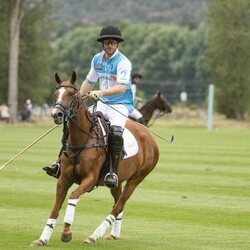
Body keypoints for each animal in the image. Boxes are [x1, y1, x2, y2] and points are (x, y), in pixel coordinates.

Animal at [31, 71, 159, 247]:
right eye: (55, 94)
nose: (56, 114)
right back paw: (113, 234)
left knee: (119, 205)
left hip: (136, 179)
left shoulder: (90, 179)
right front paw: (42, 238)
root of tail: (151, 137)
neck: (81, 139)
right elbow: (55, 208)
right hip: (116, 181)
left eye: (71, 94)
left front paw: (66, 232)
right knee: (118, 202)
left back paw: (94, 235)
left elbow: (73, 196)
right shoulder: (63, 179)